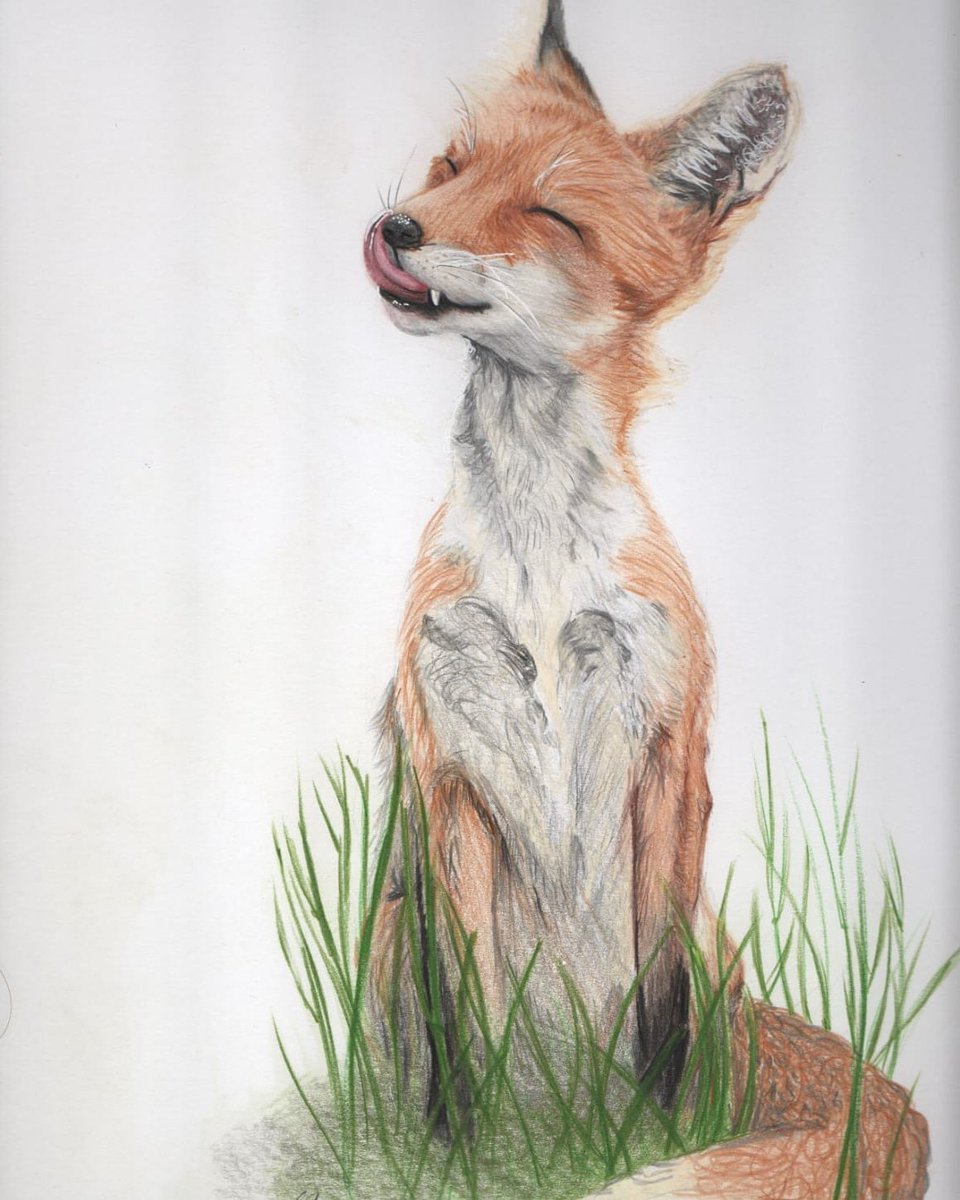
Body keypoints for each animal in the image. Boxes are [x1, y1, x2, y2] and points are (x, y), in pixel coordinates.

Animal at [361, 2, 930, 1196]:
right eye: (452, 167)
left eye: (548, 214)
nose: (395, 226)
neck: (538, 572)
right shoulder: (445, 774)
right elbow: (461, 1023)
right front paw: (462, 1157)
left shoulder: (670, 747)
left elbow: (662, 1017)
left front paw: (660, 1141)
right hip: (388, 936)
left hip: (718, 957)